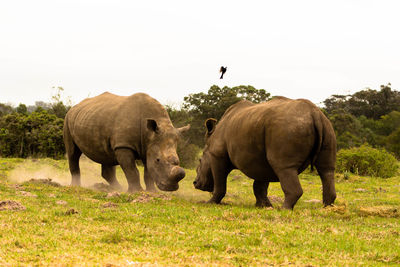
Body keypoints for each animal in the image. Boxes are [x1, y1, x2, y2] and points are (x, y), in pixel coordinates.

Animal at [194, 97, 338, 210]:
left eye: (200, 161)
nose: (195, 183)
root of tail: (315, 113)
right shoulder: (259, 160)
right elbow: (259, 185)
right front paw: (264, 206)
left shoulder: (218, 156)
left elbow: (220, 183)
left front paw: (210, 203)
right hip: (326, 126)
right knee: (326, 169)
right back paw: (327, 208)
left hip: (287, 127)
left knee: (284, 167)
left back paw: (284, 209)